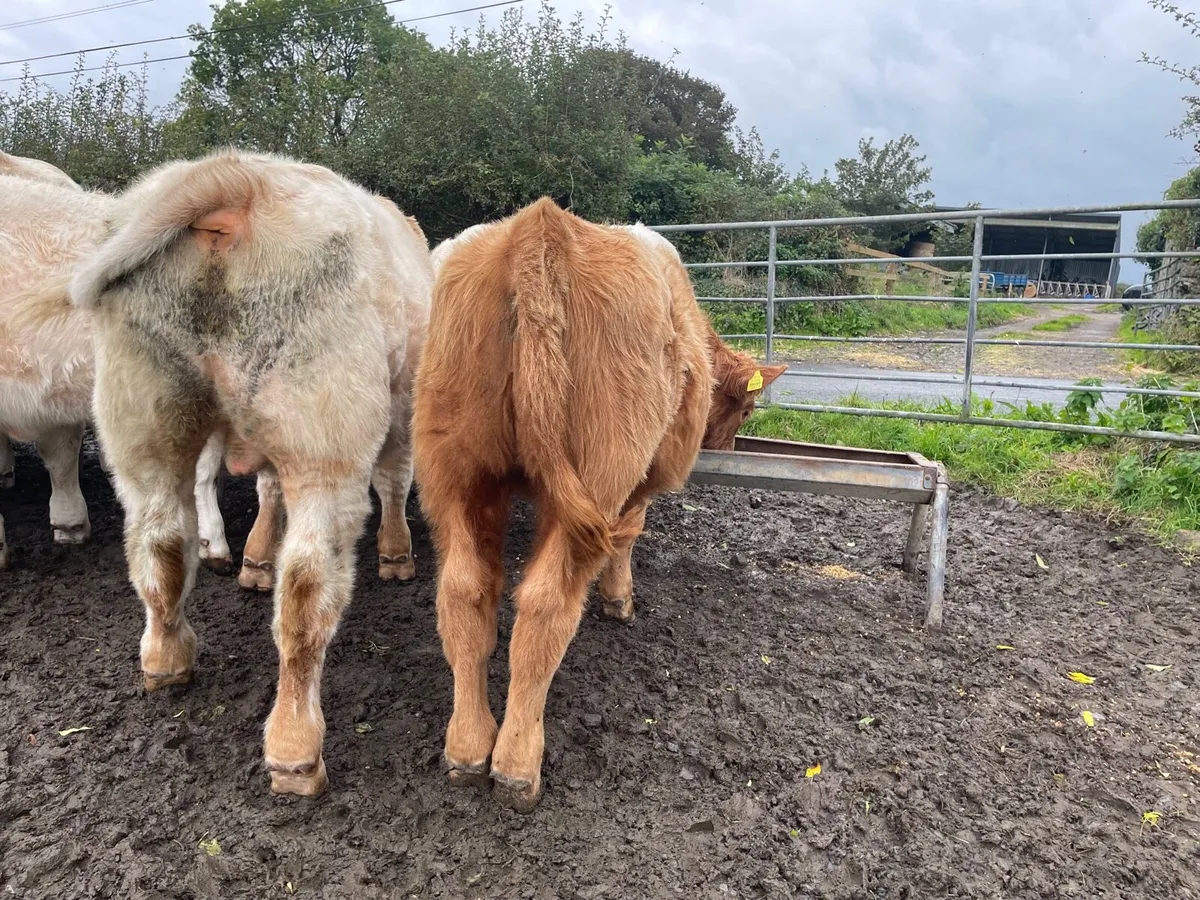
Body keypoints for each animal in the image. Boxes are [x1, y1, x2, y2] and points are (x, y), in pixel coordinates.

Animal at [68, 149, 432, 796]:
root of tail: (238, 177)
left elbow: (265, 494)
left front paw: (255, 562)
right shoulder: (399, 402)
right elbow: (393, 481)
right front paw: (397, 557)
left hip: (143, 420)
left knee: (159, 545)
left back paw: (167, 661)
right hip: (326, 438)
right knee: (308, 588)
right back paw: (295, 749)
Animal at [413, 198, 786, 812]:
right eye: (748, 412)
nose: (728, 448)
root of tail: (539, 227)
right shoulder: (639, 482)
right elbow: (628, 535)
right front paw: (620, 599)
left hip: (456, 471)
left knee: (464, 593)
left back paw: (467, 749)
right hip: (598, 471)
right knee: (545, 605)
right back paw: (517, 764)